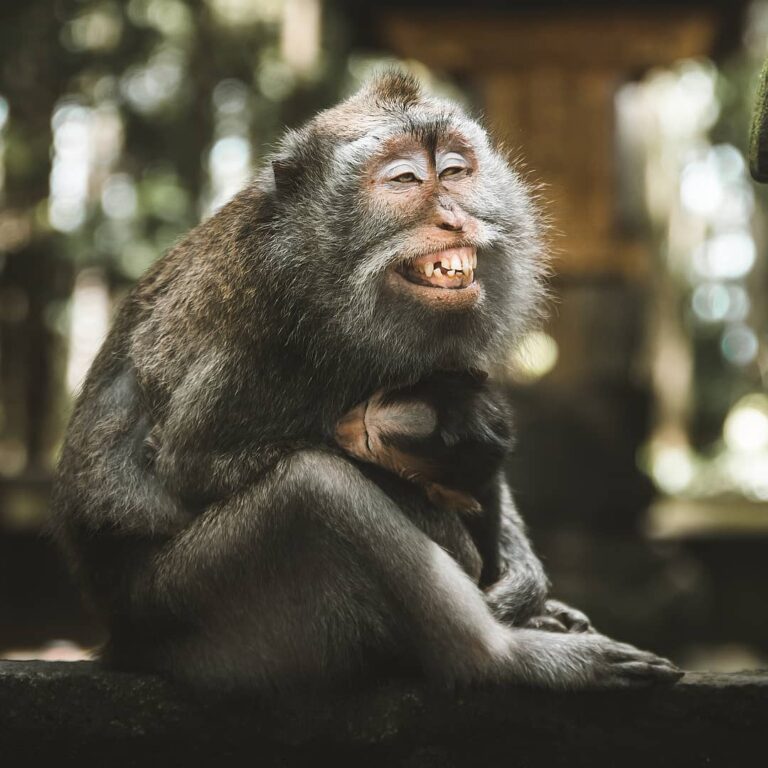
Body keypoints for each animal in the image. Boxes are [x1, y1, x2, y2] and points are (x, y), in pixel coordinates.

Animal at [51, 72, 682, 692]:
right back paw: (502, 658)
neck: (322, 278)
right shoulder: (253, 330)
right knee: (313, 488)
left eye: (455, 170)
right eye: (404, 179)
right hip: (203, 618)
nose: (453, 215)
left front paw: (525, 576)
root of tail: (123, 642)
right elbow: (190, 465)